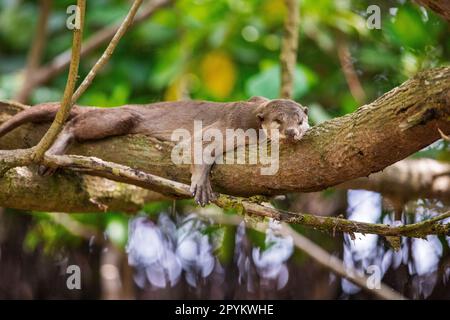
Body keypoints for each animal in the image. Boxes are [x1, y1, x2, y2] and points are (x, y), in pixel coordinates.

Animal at [0, 95, 310, 205]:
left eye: (300, 120)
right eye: (278, 121)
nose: (292, 132)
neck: (253, 119)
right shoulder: (230, 127)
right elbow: (196, 147)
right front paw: (200, 183)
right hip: (123, 117)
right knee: (74, 122)